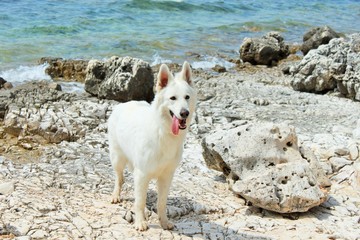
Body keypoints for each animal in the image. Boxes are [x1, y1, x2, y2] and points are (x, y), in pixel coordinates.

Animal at [107, 61, 197, 231]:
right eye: (173, 98)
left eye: (187, 97)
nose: (184, 113)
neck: (163, 132)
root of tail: (124, 104)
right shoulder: (142, 174)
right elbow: (140, 202)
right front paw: (140, 222)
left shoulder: (166, 176)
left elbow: (161, 203)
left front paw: (164, 222)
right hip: (117, 159)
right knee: (119, 178)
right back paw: (116, 195)